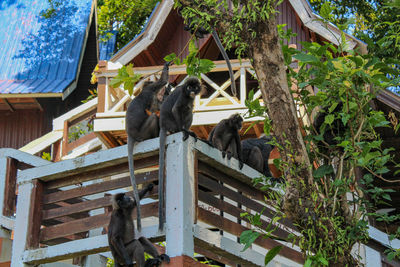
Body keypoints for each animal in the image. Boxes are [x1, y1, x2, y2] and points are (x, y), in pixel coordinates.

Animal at [125, 61, 169, 233]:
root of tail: (130, 134)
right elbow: (162, 81)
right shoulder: (151, 92)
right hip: (143, 132)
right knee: (153, 117)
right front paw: (166, 67)